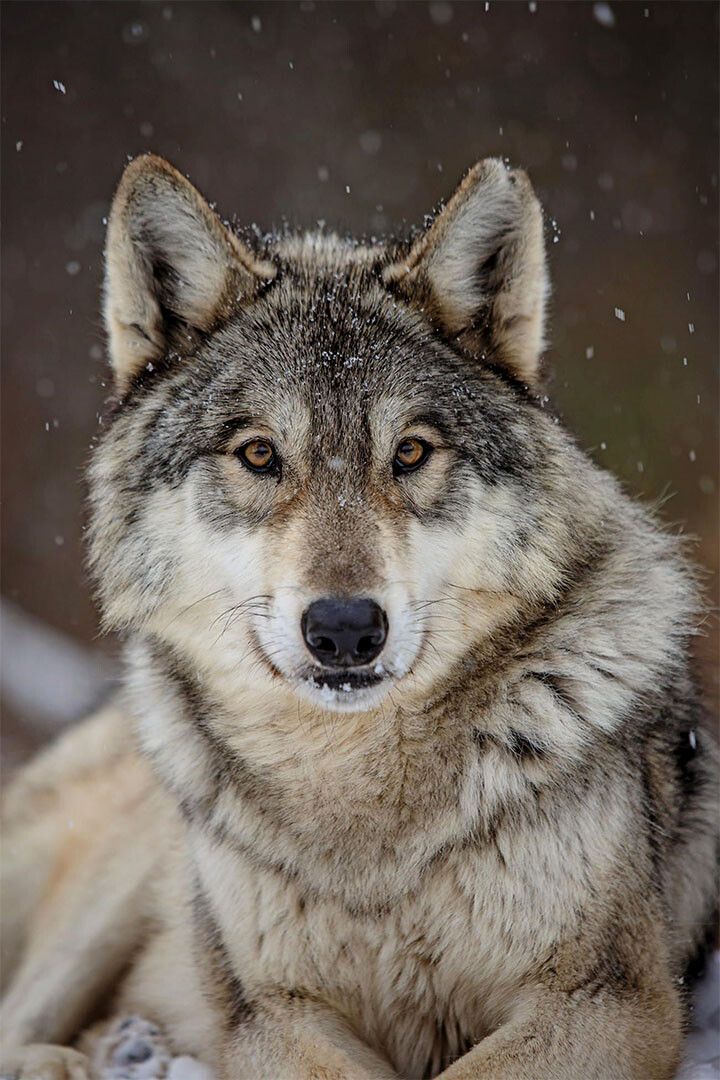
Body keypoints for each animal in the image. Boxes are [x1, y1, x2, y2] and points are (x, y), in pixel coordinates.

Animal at [1, 154, 717, 1080]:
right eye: (259, 454)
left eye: (409, 451)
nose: (344, 628)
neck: (362, 803)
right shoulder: (266, 1014)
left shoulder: (611, 998)